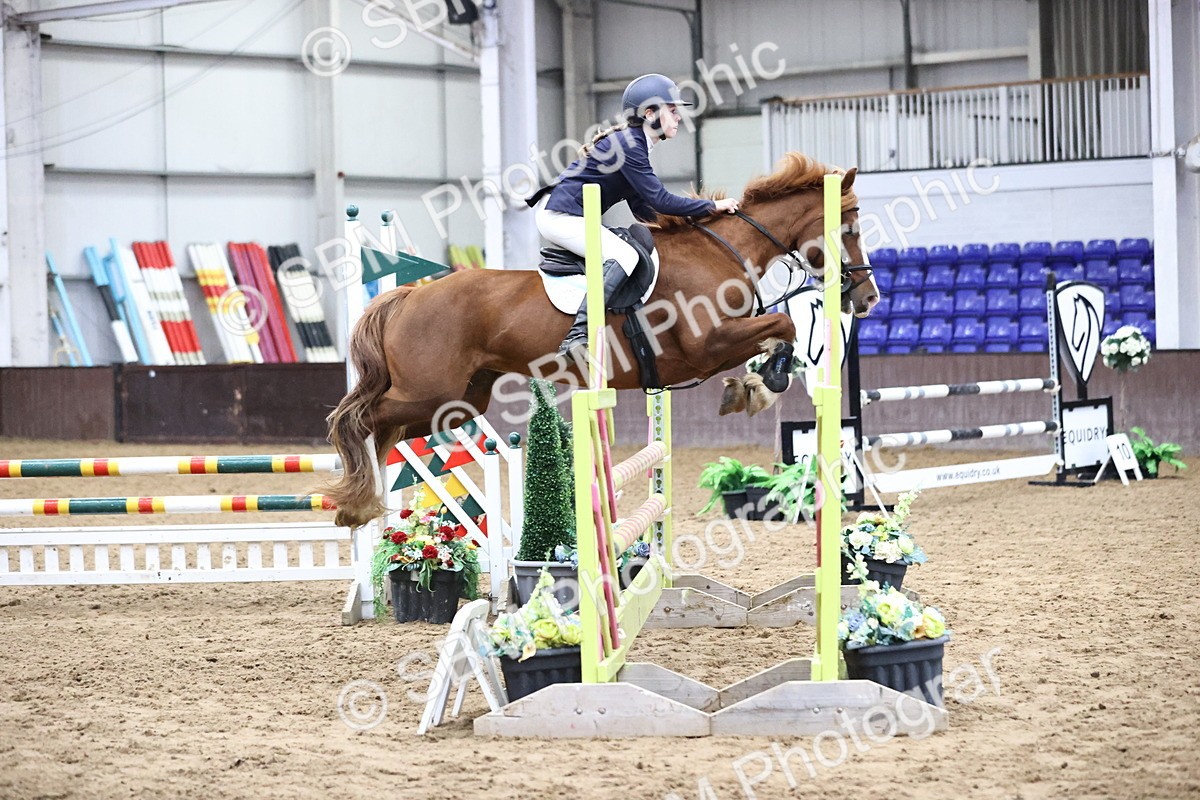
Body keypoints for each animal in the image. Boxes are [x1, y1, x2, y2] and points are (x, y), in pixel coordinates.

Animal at [325, 153, 880, 528]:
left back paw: (366, 504)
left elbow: (777, 336)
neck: (720, 252)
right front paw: (762, 385)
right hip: (429, 391)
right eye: (851, 229)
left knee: (387, 432)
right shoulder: (706, 346)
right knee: (356, 420)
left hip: (459, 400)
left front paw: (751, 386)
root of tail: (409, 295)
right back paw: (355, 504)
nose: (869, 297)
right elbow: (783, 329)